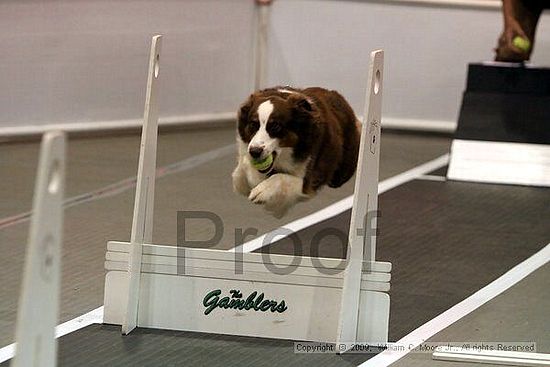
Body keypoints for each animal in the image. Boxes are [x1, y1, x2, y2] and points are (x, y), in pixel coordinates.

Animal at [233, 87, 362, 218]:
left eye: (275, 126)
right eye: (253, 124)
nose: (255, 152)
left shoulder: (308, 181)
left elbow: (281, 177)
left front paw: (263, 191)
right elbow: (241, 173)